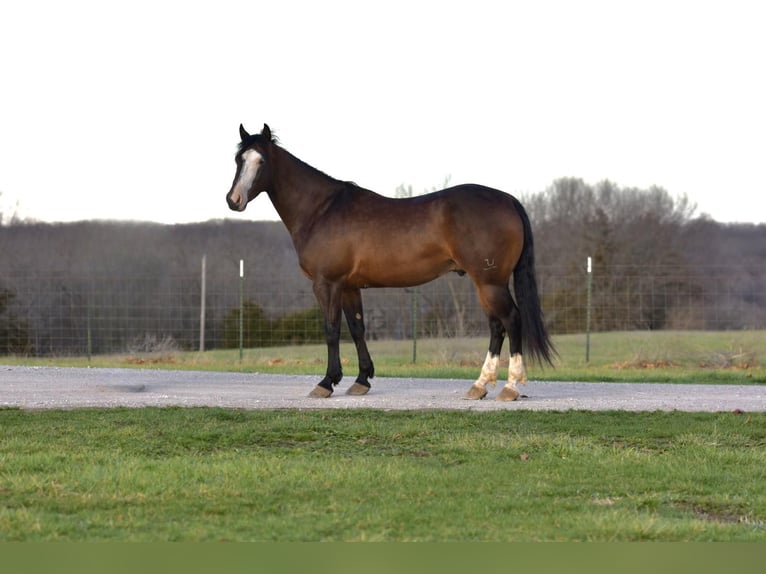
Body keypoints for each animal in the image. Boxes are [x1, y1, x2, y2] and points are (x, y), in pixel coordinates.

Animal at [225, 124, 556, 400]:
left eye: (261, 162)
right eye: (239, 159)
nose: (234, 200)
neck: (322, 209)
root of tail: (508, 199)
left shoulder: (326, 284)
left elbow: (331, 329)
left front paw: (326, 383)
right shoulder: (349, 287)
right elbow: (357, 328)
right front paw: (361, 380)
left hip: (489, 282)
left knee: (511, 320)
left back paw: (510, 387)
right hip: (485, 283)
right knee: (496, 326)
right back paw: (479, 386)